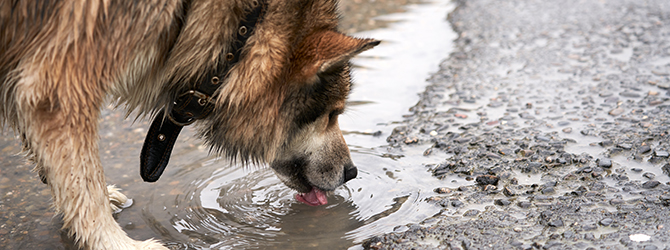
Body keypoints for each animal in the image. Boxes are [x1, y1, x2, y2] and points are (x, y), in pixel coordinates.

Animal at [0, 0, 378, 249]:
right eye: (332, 113)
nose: (353, 173)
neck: (241, 29)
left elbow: (67, 172)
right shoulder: (58, 86)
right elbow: (83, 179)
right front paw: (114, 241)